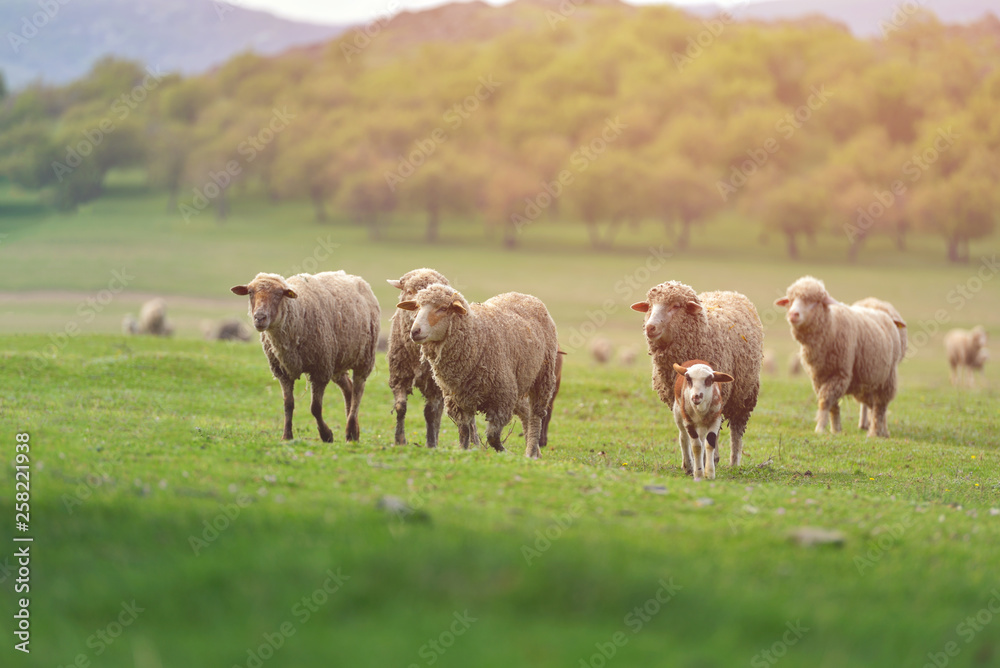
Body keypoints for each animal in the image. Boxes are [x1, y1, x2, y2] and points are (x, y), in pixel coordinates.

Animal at [231, 271, 379, 443]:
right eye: (250, 292)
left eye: (278, 294)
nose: (259, 318)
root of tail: (357, 278)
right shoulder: (283, 372)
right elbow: (288, 404)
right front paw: (286, 436)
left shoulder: (320, 370)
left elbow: (315, 408)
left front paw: (326, 435)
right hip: (337, 362)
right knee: (348, 389)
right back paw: (353, 433)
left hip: (364, 358)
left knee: (357, 392)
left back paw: (350, 429)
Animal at [386, 268, 452, 448]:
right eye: (409, 291)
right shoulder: (399, 376)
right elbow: (400, 406)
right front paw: (400, 440)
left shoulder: (434, 384)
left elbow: (430, 413)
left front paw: (431, 442)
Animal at [396, 284, 558, 459]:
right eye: (418, 307)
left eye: (443, 308)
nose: (415, 332)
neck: (476, 337)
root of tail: (523, 295)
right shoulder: (458, 400)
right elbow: (464, 431)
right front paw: (463, 451)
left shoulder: (502, 399)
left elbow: (492, 436)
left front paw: (504, 452)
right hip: (518, 382)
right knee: (525, 411)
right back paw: (537, 452)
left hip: (543, 375)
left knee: (536, 416)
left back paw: (531, 452)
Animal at [631, 281, 763, 473]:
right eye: (649, 306)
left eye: (676, 306)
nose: (650, 327)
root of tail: (728, 292)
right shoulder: (678, 401)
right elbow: (686, 434)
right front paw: (689, 464)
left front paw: (704, 462)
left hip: (744, 394)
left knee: (736, 430)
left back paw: (733, 463)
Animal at [775, 276, 905, 438]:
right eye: (791, 300)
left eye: (814, 301)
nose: (793, 314)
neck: (831, 327)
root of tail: (882, 313)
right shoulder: (818, 378)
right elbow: (832, 405)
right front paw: (835, 429)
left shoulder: (840, 374)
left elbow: (825, 400)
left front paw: (820, 428)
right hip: (866, 382)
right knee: (873, 405)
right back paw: (881, 431)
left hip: (887, 378)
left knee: (880, 406)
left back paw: (875, 432)